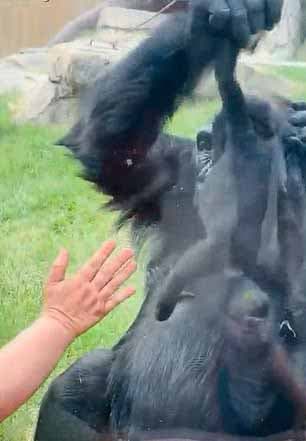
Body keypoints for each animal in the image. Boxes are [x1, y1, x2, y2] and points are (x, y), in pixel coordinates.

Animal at [34, 0, 306, 440]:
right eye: (205, 144)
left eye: (252, 130)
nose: (209, 162)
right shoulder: (174, 173)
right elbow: (112, 148)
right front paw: (217, 18)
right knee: (79, 378)